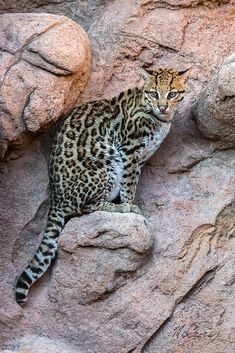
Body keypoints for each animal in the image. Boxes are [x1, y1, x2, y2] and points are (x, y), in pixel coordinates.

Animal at [15, 67, 190, 304]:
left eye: (171, 93)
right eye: (154, 93)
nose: (162, 106)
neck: (160, 118)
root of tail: (56, 199)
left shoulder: (140, 158)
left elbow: (134, 179)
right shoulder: (129, 149)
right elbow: (129, 182)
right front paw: (130, 205)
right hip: (107, 163)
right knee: (85, 207)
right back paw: (117, 207)